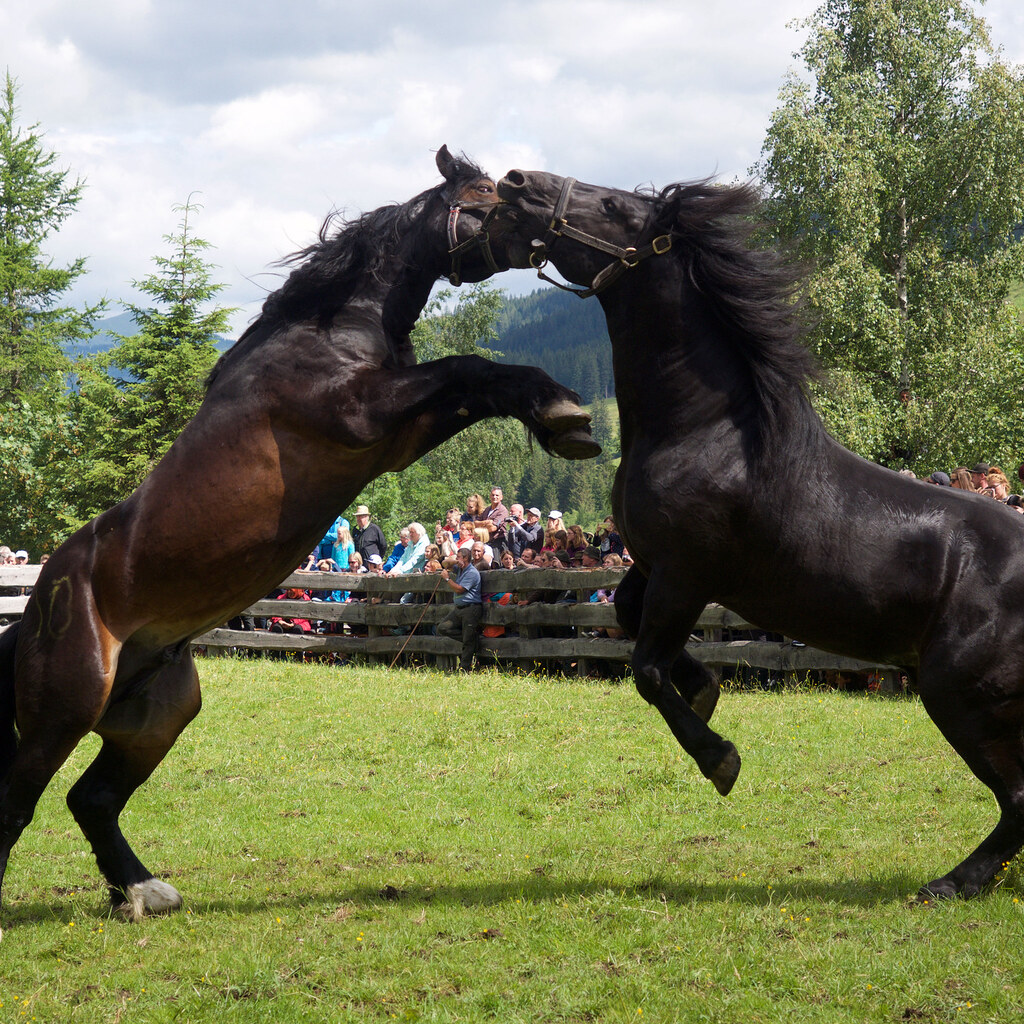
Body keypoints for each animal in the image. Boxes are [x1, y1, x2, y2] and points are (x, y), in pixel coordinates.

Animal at [0, 146, 599, 924]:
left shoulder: (399, 436)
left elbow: (476, 382)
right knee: (18, 801)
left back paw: (141, 890)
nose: (548, 223)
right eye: (485, 192)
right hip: (65, 708)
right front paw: (563, 412)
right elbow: (469, 368)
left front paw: (562, 416)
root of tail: (38, 603)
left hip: (157, 713)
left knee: (91, 798)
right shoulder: (367, 416)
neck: (328, 330)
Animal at [496, 167, 1024, 900]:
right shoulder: (652, 566)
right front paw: (705, 692)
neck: (703, 430)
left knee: (1018, 797)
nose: (517, 183)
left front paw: (719, 759)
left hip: (960, 691)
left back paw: (954, 882)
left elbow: (646, 668)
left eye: (611, 205)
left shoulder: (685, 573)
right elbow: (629, 621)